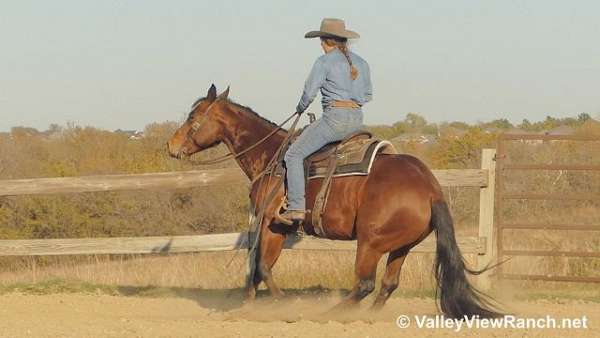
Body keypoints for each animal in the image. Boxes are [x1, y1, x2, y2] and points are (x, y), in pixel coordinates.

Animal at [166, 84, 500, 316]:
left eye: (193, 116)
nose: (170, 145)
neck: (272, 157)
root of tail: (430, 188)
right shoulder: (275, 227)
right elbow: (260, 267)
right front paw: (248, 304)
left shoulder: (272, 224)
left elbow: (261, 266)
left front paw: (280, 304)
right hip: (402, 246)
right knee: (388, 285)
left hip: (370, 242)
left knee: (364, 284)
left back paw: (330, 314)